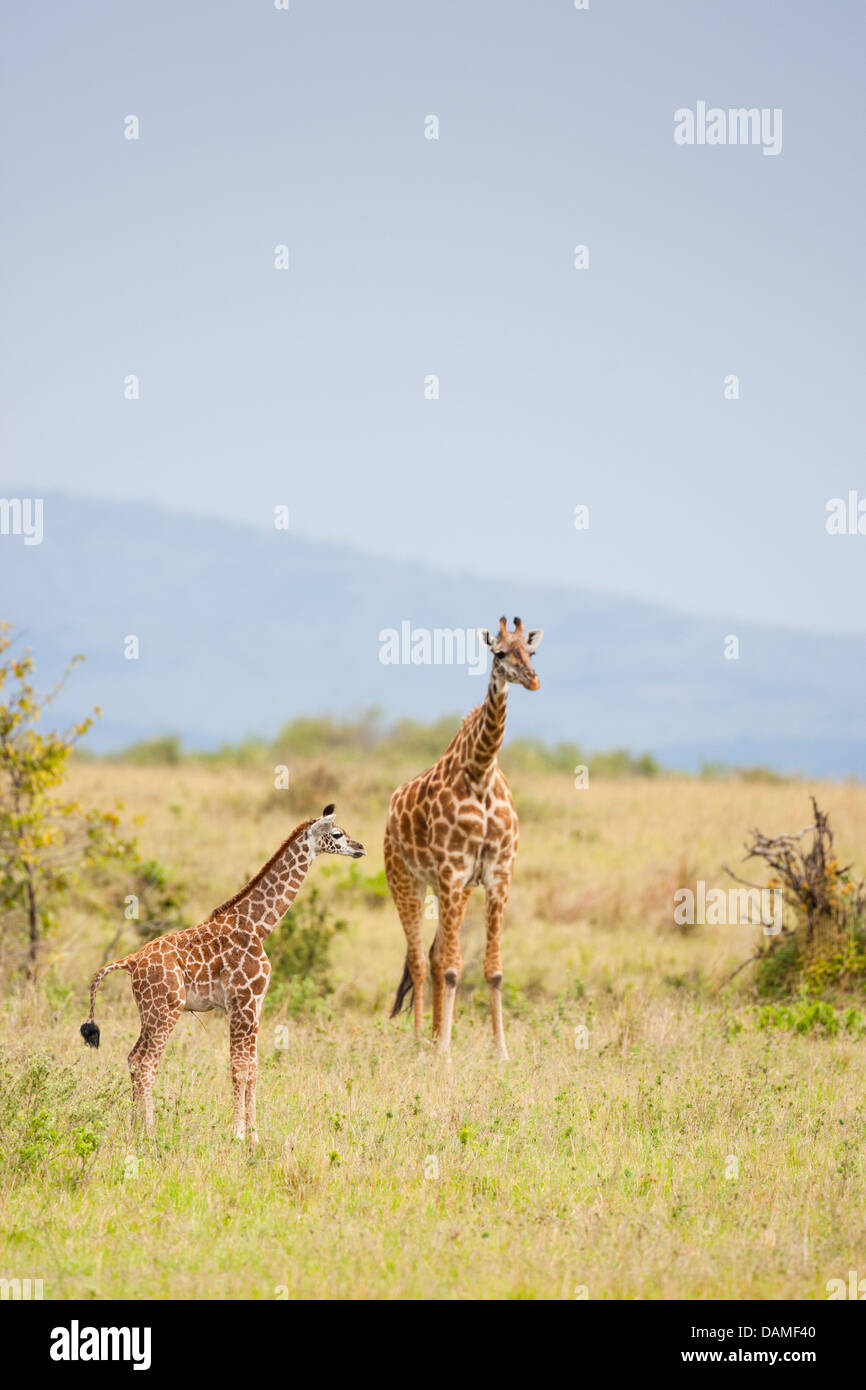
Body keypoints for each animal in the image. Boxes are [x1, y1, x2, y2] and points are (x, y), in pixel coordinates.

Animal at [79, 806, 365, 1142]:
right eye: (337, 834)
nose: (360, 847)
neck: (258, 925)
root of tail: (131, 961)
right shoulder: (243, 1001)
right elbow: (239, 1067)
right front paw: (239, 1135)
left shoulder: (255, 1005)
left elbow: (254, 1067)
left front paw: (255, 1136)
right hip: (166, 1009)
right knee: (145, 1061)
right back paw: (149, 1132)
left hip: (150, 1011)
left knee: (133, 1058)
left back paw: (135, 1127)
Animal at [385, 617, 543, 1059]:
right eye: (499, 652)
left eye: (531, 651)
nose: (533, 679)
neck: (481, 771)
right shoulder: (454, 872)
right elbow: (455, 968)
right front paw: (444, 1053)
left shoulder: (496, 876)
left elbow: (493, 970)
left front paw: (501, 1052)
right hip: (406, 880)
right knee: (421, 960)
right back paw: (421, 1039)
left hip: (447, 888)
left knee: (435, 956)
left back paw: (435, 1032)